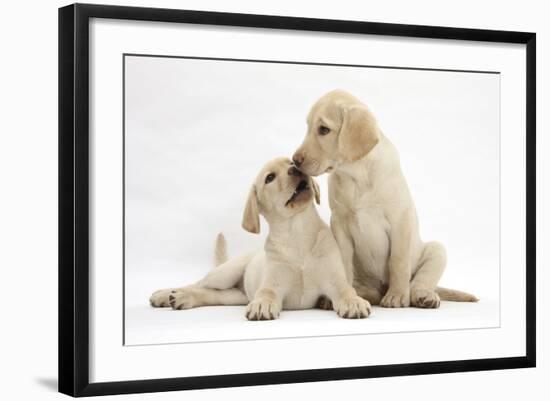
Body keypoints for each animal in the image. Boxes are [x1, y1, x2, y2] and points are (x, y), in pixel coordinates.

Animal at [151, 156, 374, 318]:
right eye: (269, 178)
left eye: (291, 163)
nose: (296, 169)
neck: (297, 231)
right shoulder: (271, 285)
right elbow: (266, 294)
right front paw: (262, 305)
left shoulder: (336, 282)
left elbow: (347, 291)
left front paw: (354, 302)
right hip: (225, 273)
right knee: (198, 283)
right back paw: (167, 294)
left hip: (236, 296)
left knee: (212, 294)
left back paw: (181, 299)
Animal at [294, 90, 478, 308]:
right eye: (308, 127)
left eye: (324, 130)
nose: (294, 161)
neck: (357, 175)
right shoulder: (339, 223)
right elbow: (344, 264)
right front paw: (344, 297)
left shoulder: (400, 220)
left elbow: (398, 261)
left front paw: (397, 295)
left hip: (436, 250)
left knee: (420, 282)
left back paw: (423, 296)